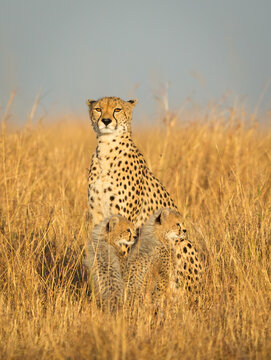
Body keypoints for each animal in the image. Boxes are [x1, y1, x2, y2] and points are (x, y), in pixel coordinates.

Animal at [87, 95, 178, 229]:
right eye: (98, 109)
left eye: (117, 110)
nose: (106, 121)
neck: (106, 147)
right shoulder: (97, 214)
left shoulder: (123, 214)